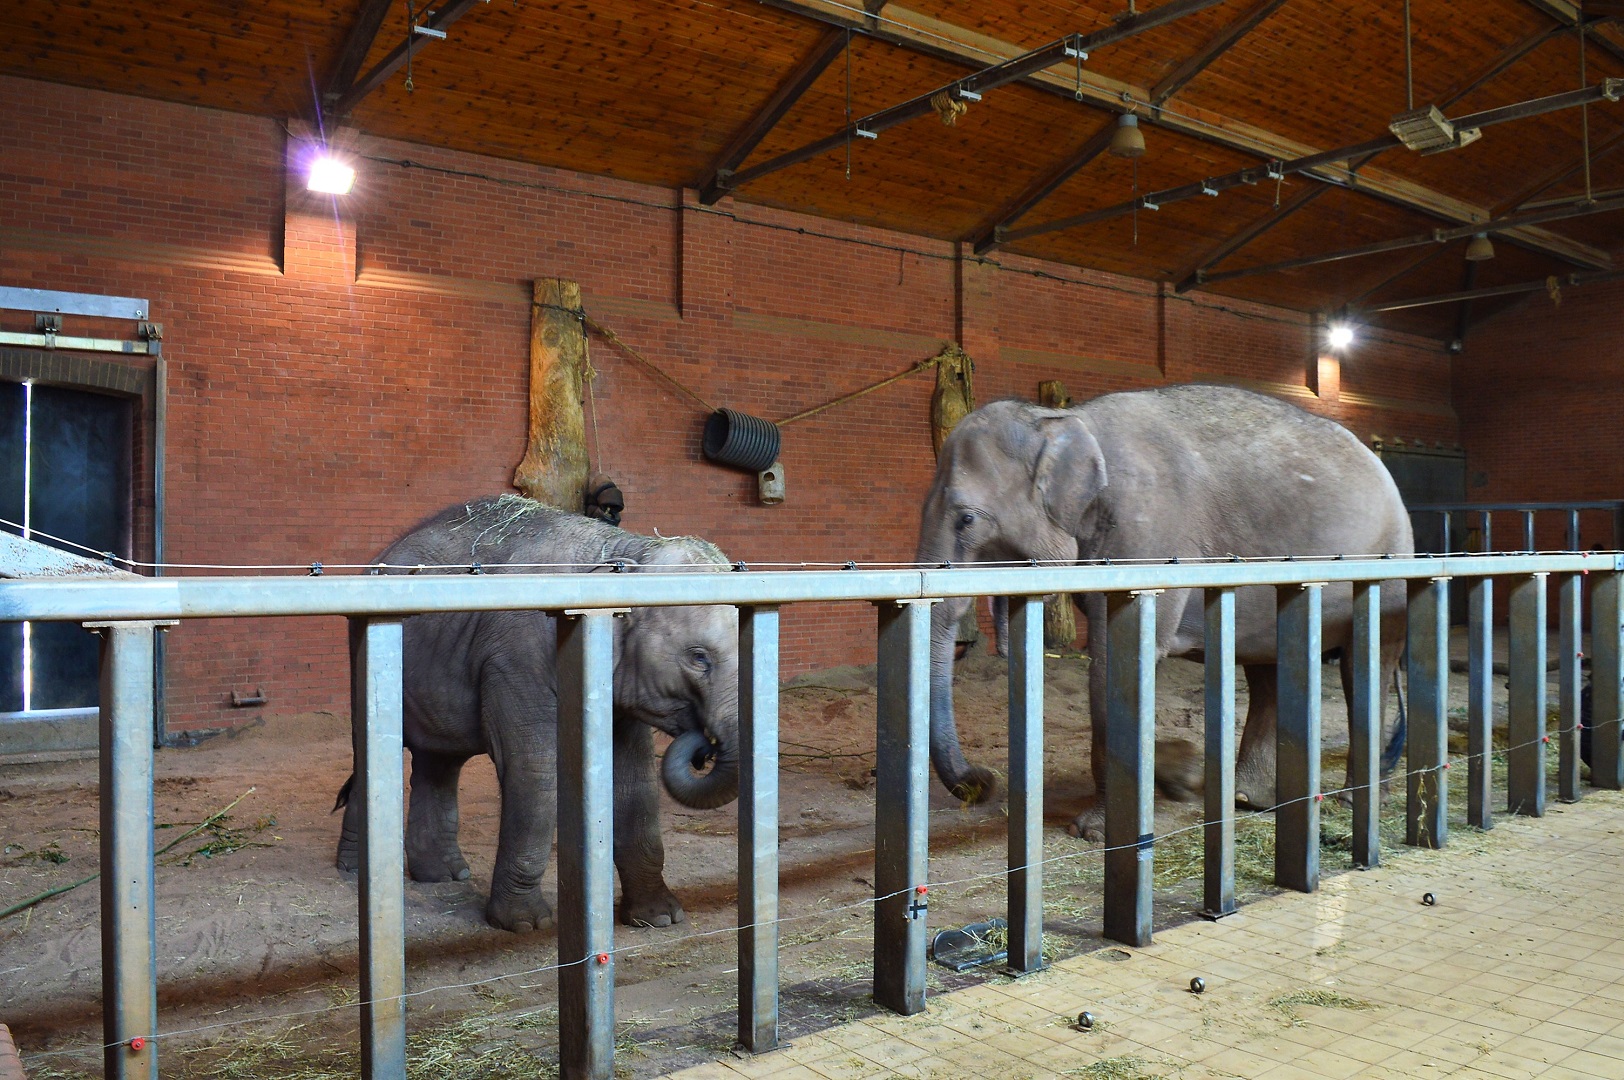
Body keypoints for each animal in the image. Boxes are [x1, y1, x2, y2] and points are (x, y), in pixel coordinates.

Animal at [334, 495, 738, 932]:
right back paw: (352, 871)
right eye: (699, 658)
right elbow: (535, 767)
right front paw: (526, 925)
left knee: (438, 760)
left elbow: (634, 779)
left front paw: (661, 917)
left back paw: (444, 876)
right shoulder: (517, 657)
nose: (703, 749)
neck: (623, 551)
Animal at [917, 384, 1414, 841]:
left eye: (966, 519)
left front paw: (1093, 832)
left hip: (1390, 562)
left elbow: (1117, 658)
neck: (1065, 420)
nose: (983, 781)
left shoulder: (1149, 532)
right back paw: (1247, 799)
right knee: (1267, 669)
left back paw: (1354, 797)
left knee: (1365, 662)